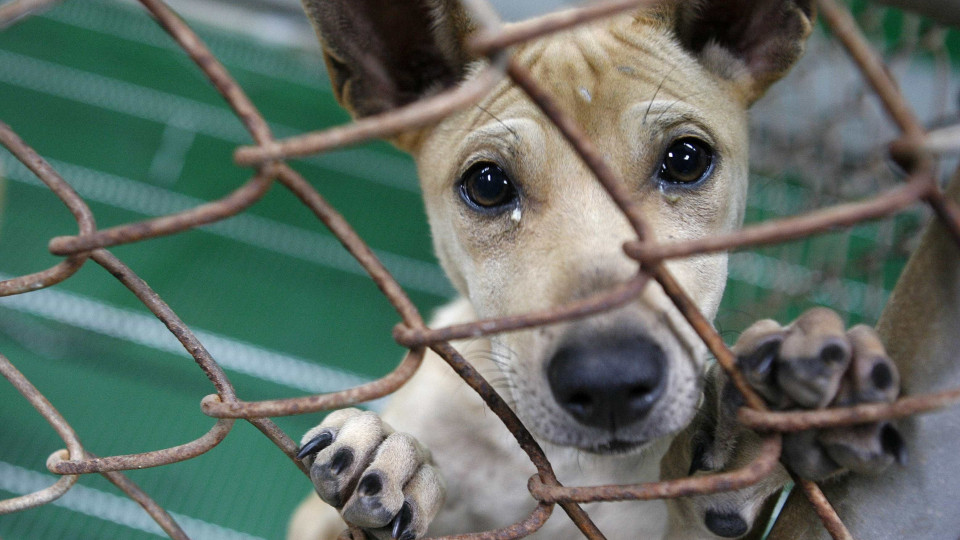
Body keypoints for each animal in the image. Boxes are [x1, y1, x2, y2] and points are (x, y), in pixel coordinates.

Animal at [284, 2, 908, 536]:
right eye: (486, 184)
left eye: (687, 159)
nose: (610, 383)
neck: (562, 464)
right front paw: (391, 456)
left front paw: (742, 448)